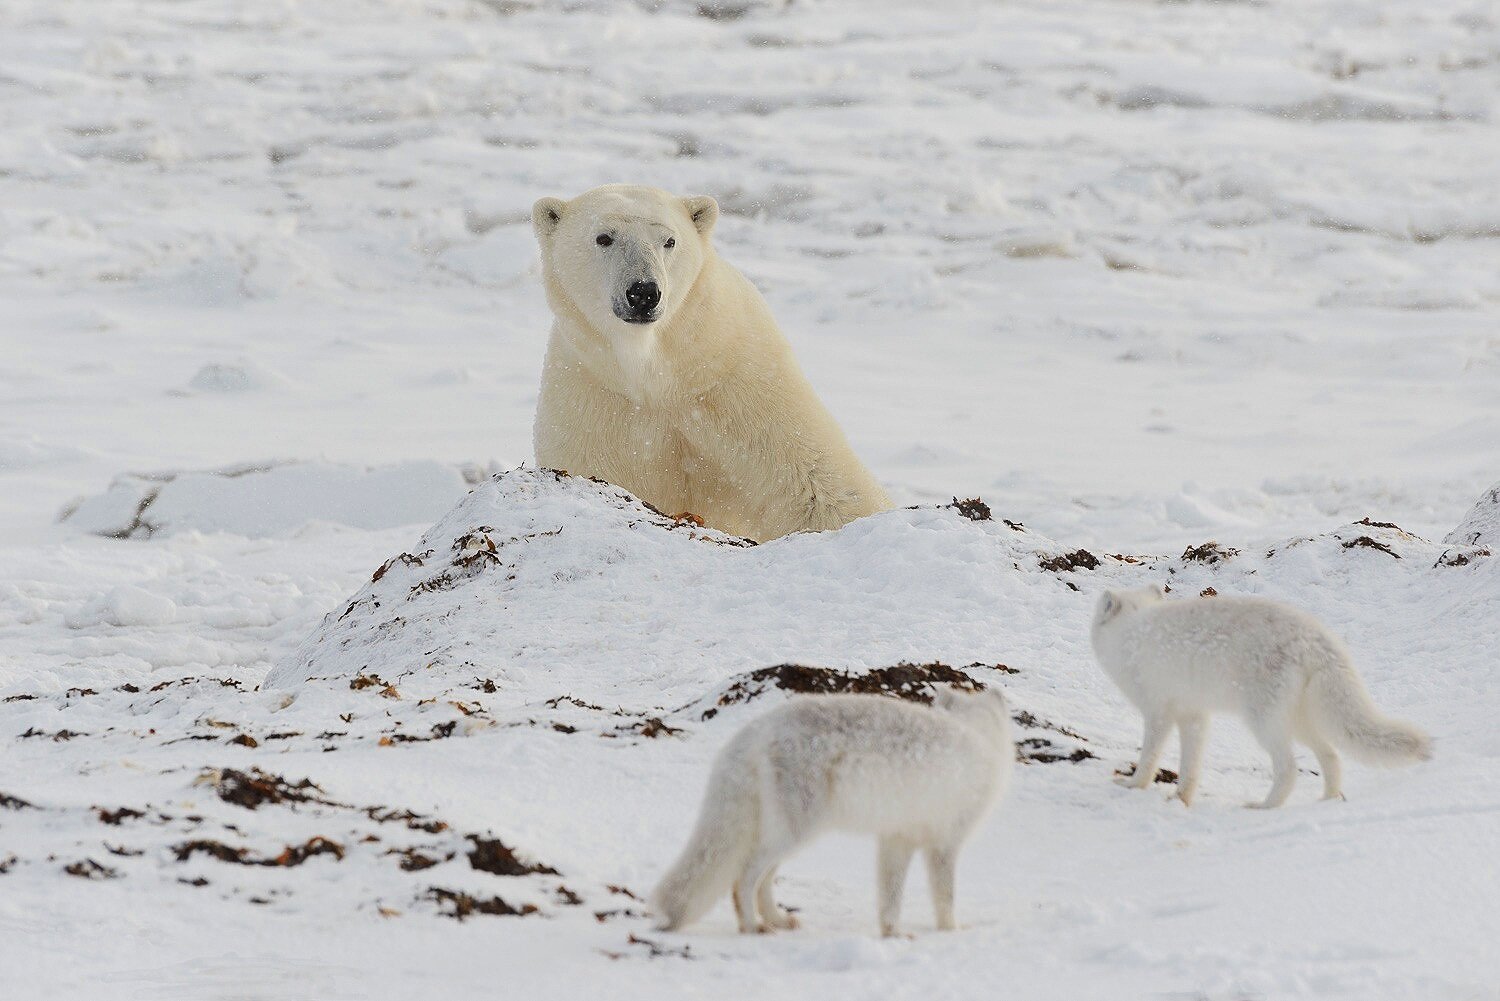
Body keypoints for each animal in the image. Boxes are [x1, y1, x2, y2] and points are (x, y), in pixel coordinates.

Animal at [534, 182, 894, 540]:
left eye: (669, 240)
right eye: (603, 238)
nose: (644, 293)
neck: (656, 371)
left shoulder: (739, 379)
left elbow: (813, 479)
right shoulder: (591, 396)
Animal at [651, 690, 1014, 942]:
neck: (978, 735)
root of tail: (756, 729)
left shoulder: (896, 839)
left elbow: (890, 896)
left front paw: (892, 933)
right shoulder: (944, 843)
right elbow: (945, 896)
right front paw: (952, 931)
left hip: (789, 836)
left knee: (763, 881)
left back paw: (776, 919)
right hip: (794, 832)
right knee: (745, 878)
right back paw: (753, 926)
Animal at [1092, 588, 1428, 804]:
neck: (1129, 631)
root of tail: (1313, 636)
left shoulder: (1158, 711)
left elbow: (1149, 756)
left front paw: (1133, 785)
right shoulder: (1193, 714)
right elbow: (1191, 764)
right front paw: (1181, 799)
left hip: (1263, 720)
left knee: (1289, 768)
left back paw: (1264, 807)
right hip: (1298, 720)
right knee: (1331, 755)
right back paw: (1328, 799)